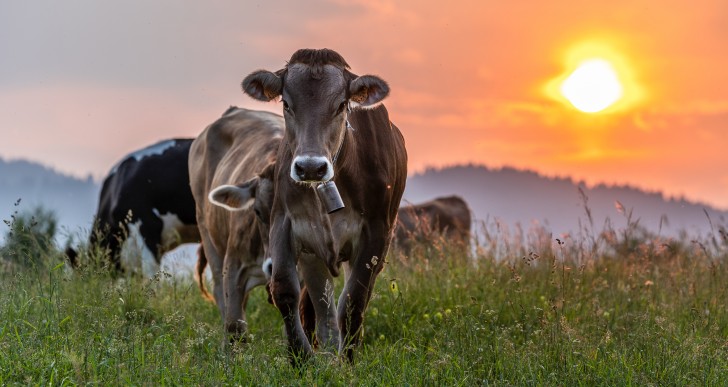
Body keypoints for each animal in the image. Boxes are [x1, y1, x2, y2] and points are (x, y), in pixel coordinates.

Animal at [189, 107, 282, 342]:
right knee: (221, 296)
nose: (274, 265)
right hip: (208, 234)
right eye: (257, 211)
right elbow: (234, 326)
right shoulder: (234, 265)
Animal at [242, 48, 406, 364]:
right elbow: (286, 292)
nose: (310, 167)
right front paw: (301, 359)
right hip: (313, 254)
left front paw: (348, 362)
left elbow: (354, 300)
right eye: (286, 103)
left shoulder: (376, 234)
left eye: (341, 105)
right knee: (319, 306)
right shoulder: (285, 223)